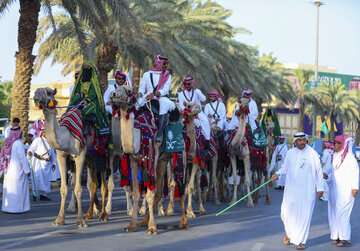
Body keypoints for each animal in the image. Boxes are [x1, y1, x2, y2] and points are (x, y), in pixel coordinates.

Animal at [33, 87, 107, 226]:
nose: (35, 96)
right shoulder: (62, 156)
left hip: (100, 154)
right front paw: (59, 219)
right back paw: (87, 210)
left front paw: (81, 220)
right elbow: (64, 188)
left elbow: (79, 188)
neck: (66, 136)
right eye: (36, 91)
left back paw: (100, 212)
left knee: (99, 183)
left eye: (49, 93)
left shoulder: (80, 155)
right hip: (86, 158)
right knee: (89, 183)